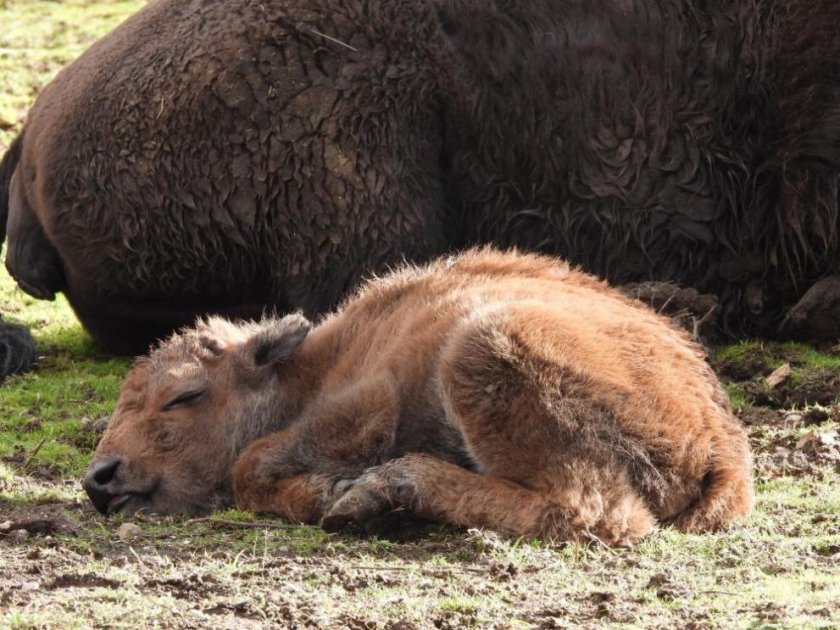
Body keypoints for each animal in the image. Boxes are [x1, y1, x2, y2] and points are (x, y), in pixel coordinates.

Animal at [83, 249, 756, 544]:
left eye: (183, 396)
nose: (100, 477)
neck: (313, 368)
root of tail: (723, 449)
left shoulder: (366, 402)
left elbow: (255, 464)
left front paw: (334, 492)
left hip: (485, 348)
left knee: (593, 511)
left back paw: (386, 491)